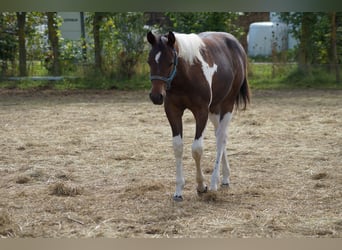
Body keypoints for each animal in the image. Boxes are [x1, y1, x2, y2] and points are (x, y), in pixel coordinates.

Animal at [146, 30, 248, 201]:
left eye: (170, 62)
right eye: (149, 62)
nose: (156, 96)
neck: (186, 76)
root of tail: (236, 44)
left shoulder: (201, 111)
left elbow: (197, 149)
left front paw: (201, 185)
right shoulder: (173, 111)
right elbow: (178, 147)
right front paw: (178, 190)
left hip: (227, 104)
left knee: (220, 138)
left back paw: (214, 182)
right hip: (214, 109)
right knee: (221, 135)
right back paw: (225, 177)